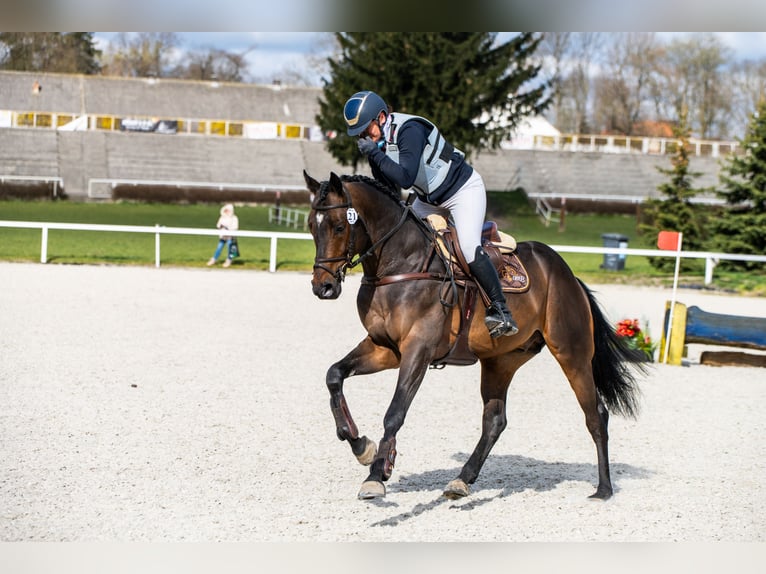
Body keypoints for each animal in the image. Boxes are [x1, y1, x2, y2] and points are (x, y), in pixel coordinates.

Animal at [303, 170, 645, 501]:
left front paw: (376, 475)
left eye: (338, 226)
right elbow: (334, 375)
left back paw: (603, 489)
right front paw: (361, 445)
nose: (323, 287)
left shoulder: (418, 350)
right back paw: (461, 479)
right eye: (310, 226)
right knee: (494, 421)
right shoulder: (385, 348)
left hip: (571, 352)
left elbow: (395, 412)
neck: (400, 263)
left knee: (595, 414)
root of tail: (568, 274)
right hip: (501, 360)